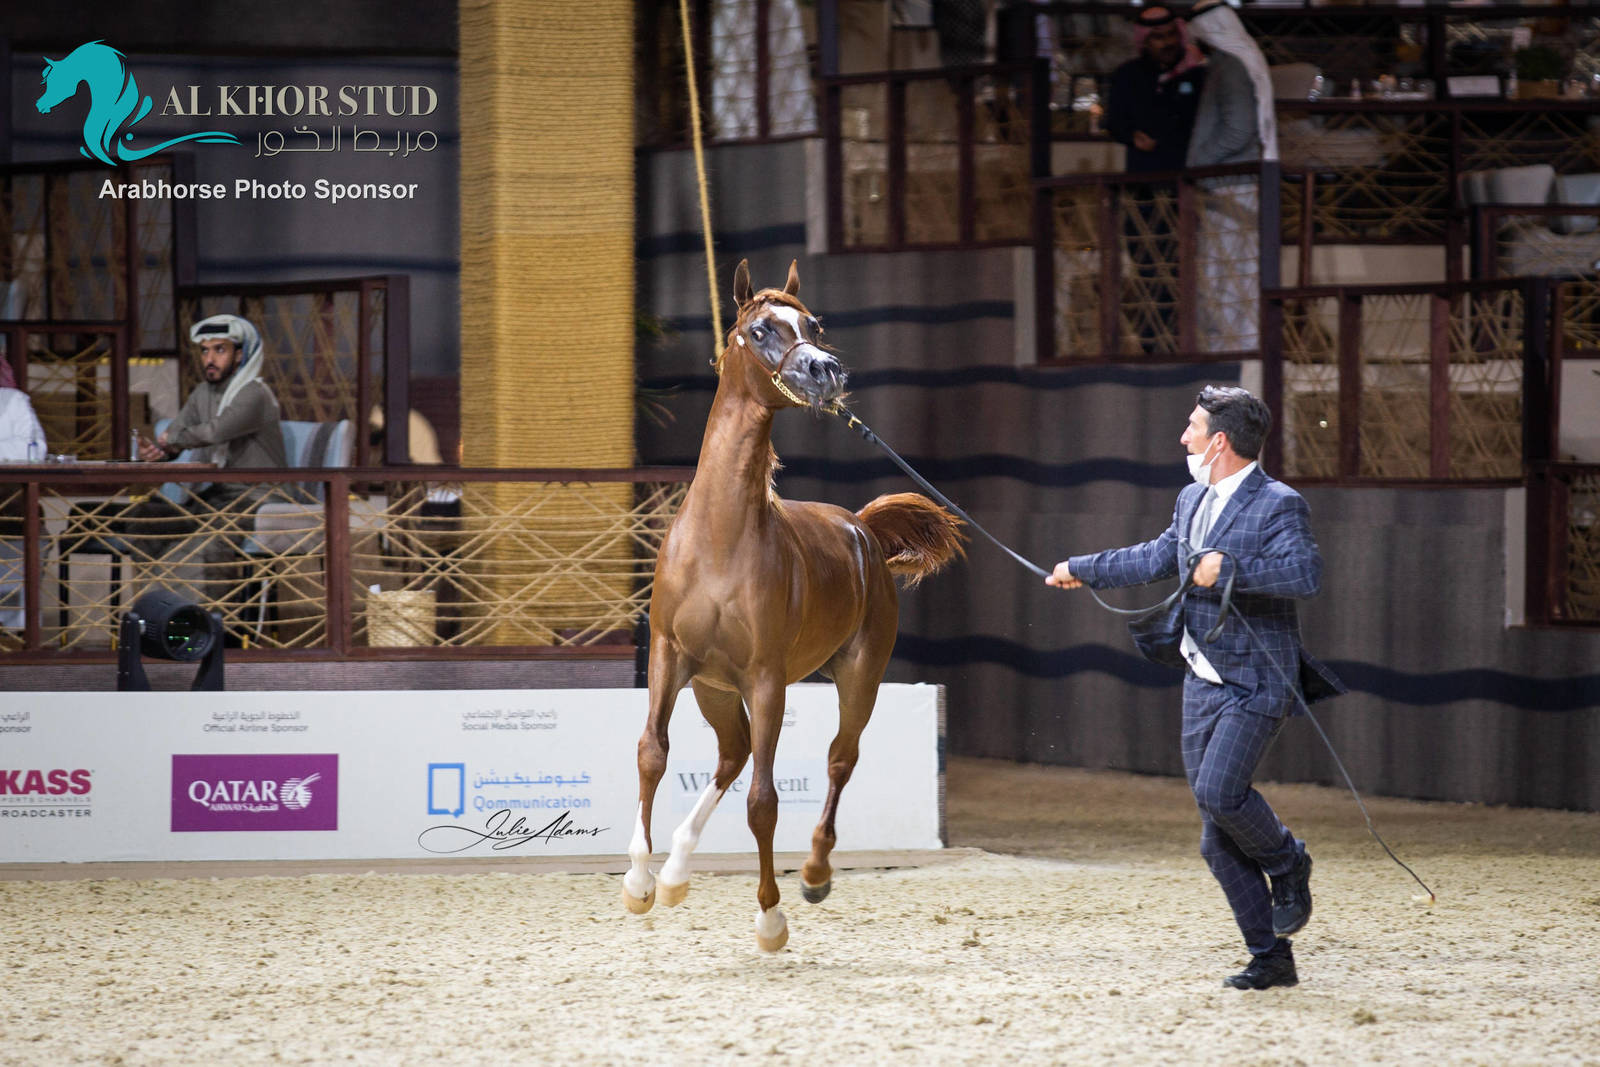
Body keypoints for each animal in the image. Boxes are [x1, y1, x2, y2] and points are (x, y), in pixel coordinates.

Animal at [621, 259, 965, 951]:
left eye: (814, 326)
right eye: (760, 329)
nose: (825, 371)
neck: (720, 539)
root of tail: (863, 529)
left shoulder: (767, 678)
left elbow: (765, 801)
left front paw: (771, 918)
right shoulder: (671, 656)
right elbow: (653, 753)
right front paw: (640, 884)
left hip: (858, 675)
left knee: (837, 759)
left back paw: (812, 873)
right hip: (714, 689)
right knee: (731, 756)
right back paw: (674, 873)